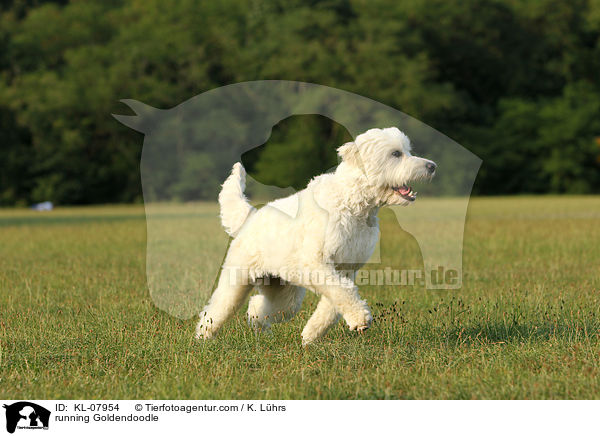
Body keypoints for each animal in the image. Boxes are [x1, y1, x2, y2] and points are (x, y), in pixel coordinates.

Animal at [197, 126, 436, 344]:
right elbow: (342, 292)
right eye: (395, 153)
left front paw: (310, 335)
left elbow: (335, 302)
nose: (432, 166)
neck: (351, 202)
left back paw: (262, 331)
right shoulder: (316, 264)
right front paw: (360, 318)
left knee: (257, 307)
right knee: (215, 311)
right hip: (236, 283)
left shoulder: (345, 269)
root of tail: (249, 217)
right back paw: (202, 339)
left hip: (284, 294)